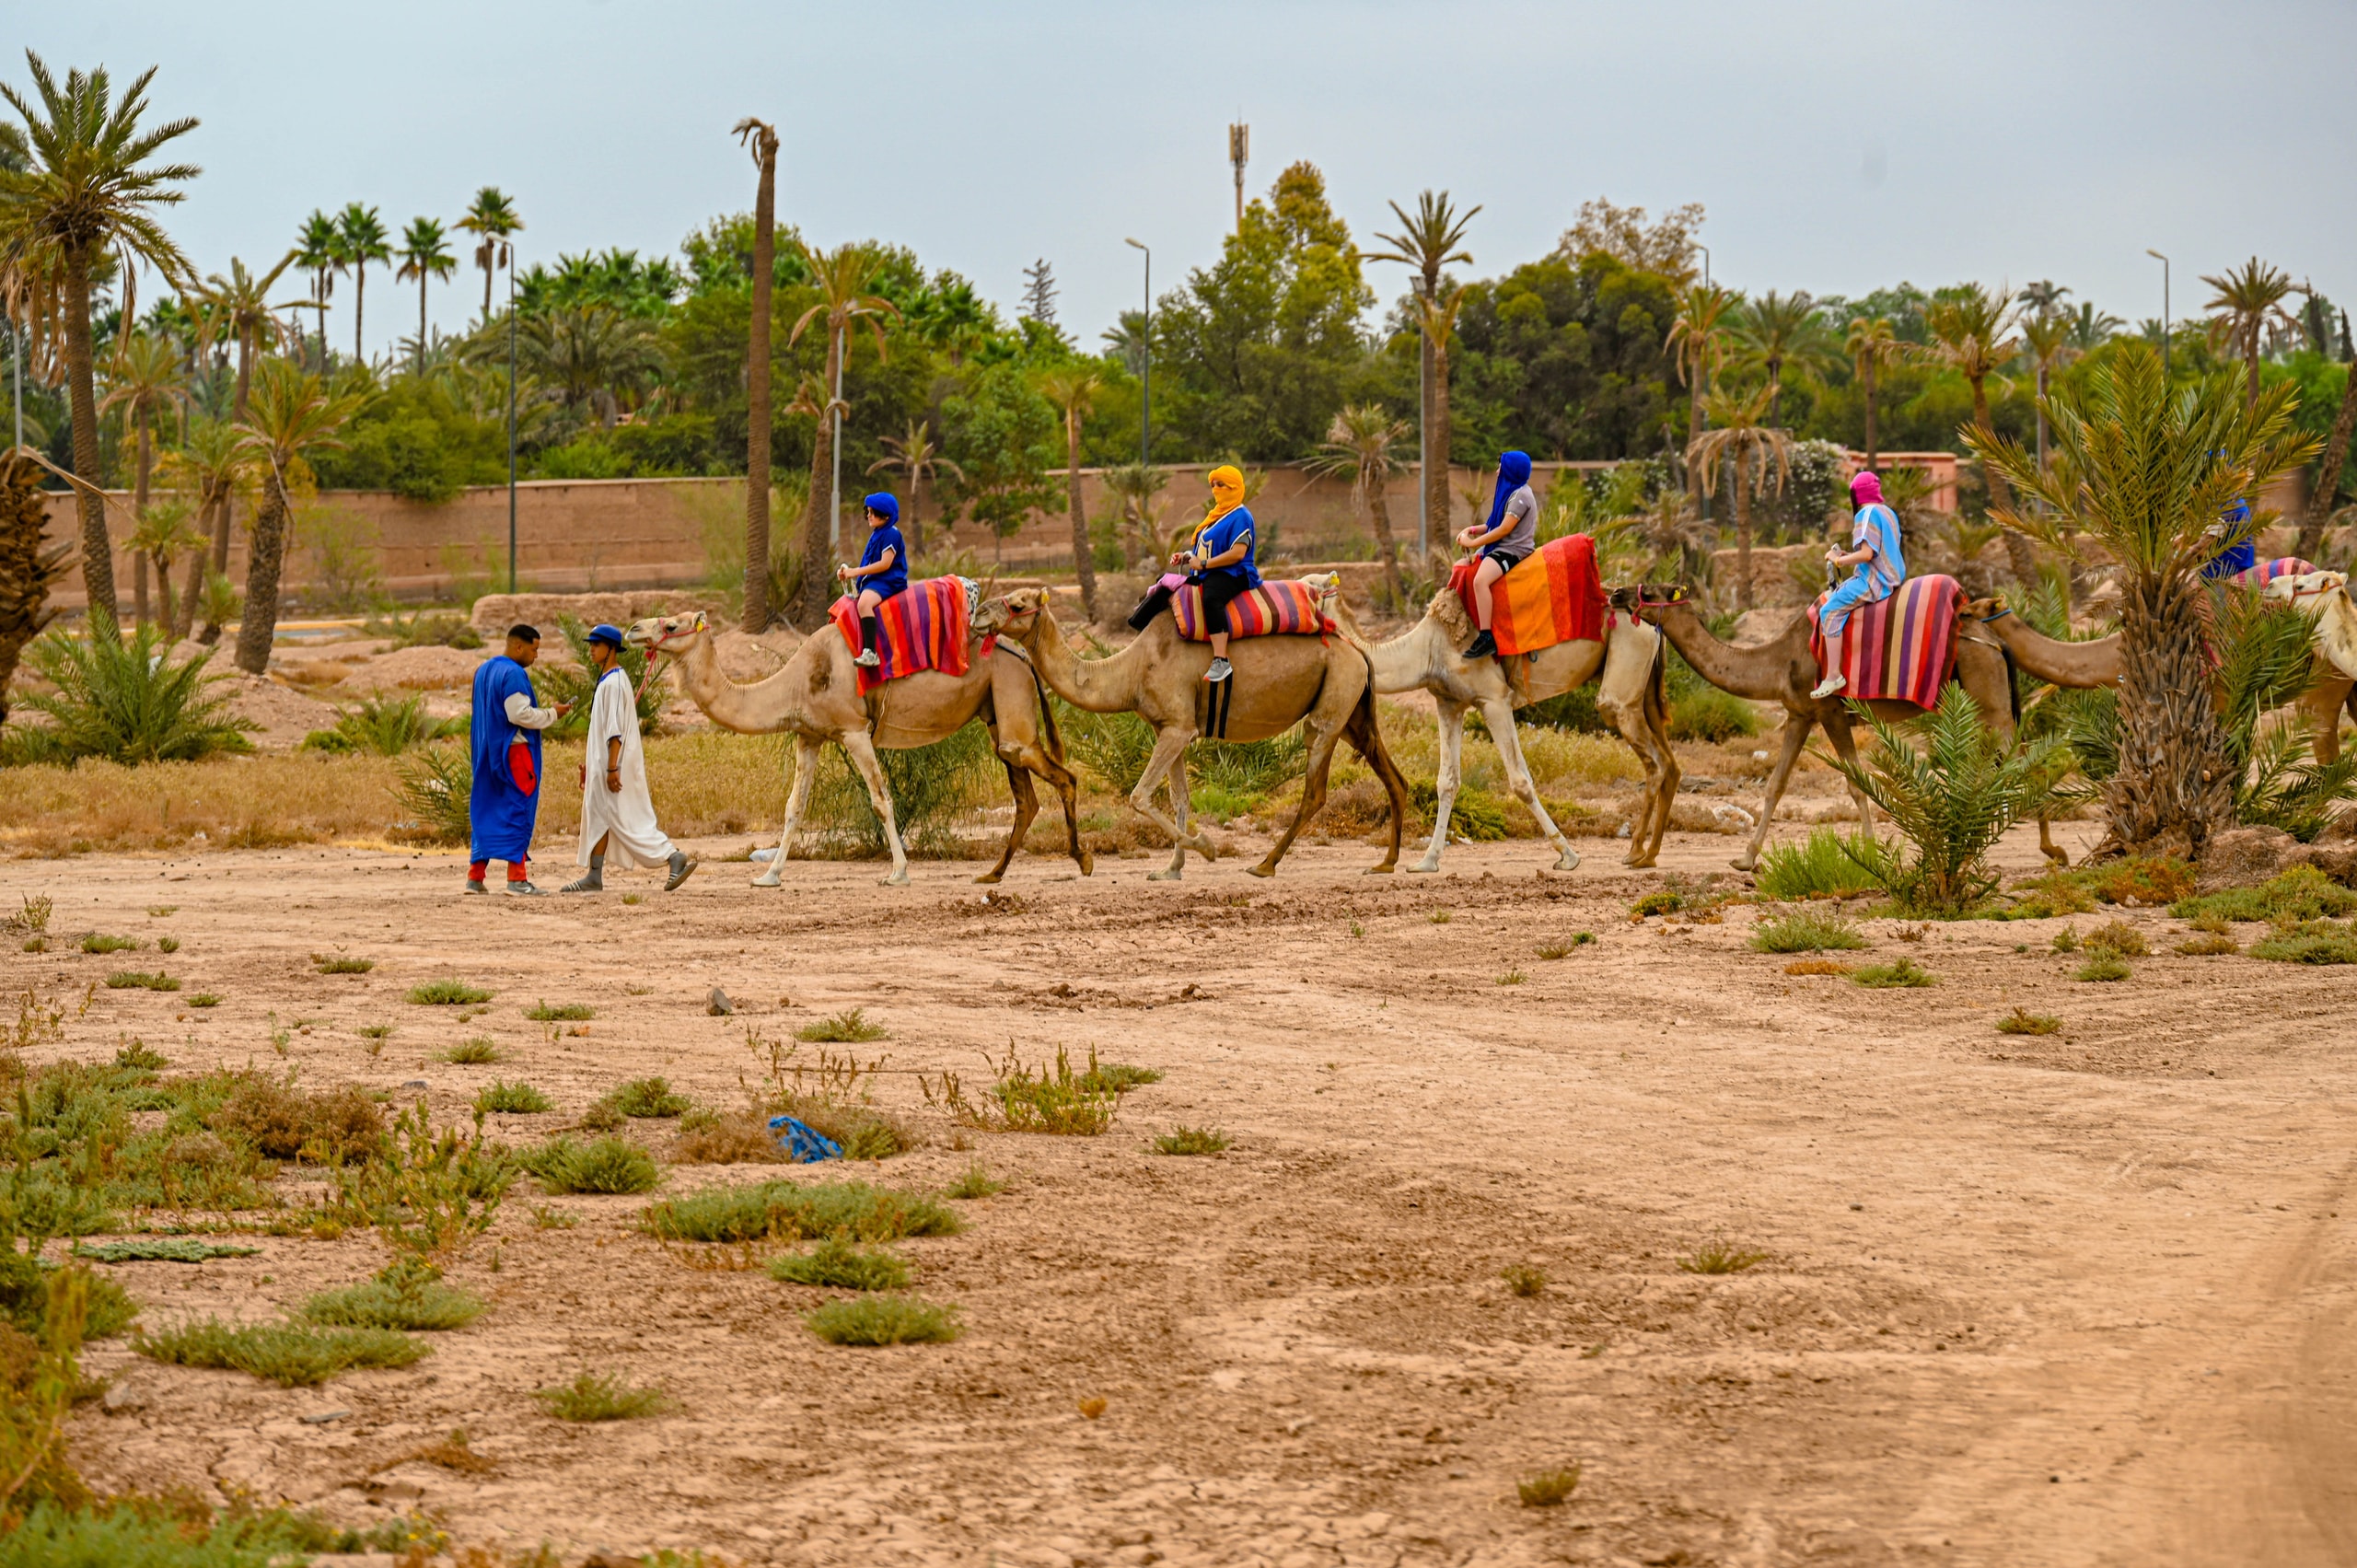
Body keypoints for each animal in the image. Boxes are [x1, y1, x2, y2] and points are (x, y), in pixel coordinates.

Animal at [623, 610, 1089, 887]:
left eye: (671, 625)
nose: (633, 629)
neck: (797, 680)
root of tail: (1023, 655)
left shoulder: (853, 731)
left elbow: (881, 800)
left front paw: (898, 873)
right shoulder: (809, 735)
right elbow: (794, 807)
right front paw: (769, 875)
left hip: (1009, 692)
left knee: (1062, 777)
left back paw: (1082, 861)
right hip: (994, 711)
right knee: (1026, 796)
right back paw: (993, 874)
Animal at [971, 584, 1412, 880]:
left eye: (1017, 603)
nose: (977, 616)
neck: (1131, 672)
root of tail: (1358, 651)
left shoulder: (1177, 729)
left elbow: (1140, 796)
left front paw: (1206, 847)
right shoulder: (1171, 728)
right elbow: (1178, 796)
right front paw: (1172, 867)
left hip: (1331, 706)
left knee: (1315, 788)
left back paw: (1265, 864)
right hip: (1353, 712)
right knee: (1393, 776)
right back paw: (1386, 862)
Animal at [1333, 588, 1679, 871]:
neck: (1426, 649)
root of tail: (1652, 625)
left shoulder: (1494, 699)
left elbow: (1520, 781)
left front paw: (1567, 855)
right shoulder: (1449, 702)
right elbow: (1447, 782)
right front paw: (1427, 861)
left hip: (1624, 675)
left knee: (1652, 758)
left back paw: (1636, 853)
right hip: (1646, 690)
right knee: (1669, 763)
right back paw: (1649, 854)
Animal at [1620, 586, 2022, 872]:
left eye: (1653, 590)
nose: (1619, 593)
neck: (1777, 660)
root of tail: (1996, 642)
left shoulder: (1830, 711)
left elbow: (1856, 783)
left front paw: (1869, 854)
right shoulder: (1800, 714)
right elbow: (1775, 785)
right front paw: (1745, 859)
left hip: (1988, 698)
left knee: (2010, 760)